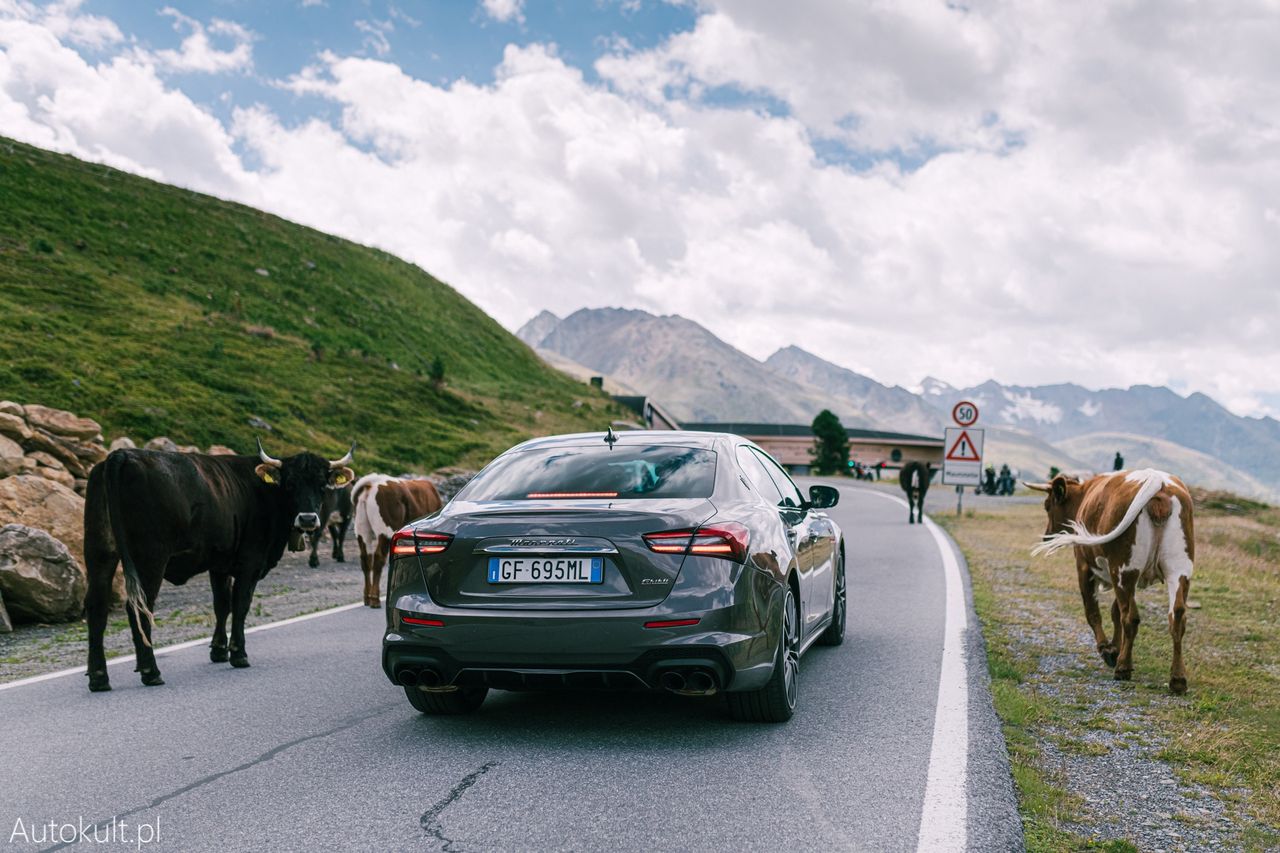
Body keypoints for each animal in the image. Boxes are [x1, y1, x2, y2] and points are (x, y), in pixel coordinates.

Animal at [83, 438, 355, 691]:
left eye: (322, 485)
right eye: (290, 484)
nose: (308, 519)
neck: (265, 494)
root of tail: (122, 455)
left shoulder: (220, 563)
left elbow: (222, 605)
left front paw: (218, 650)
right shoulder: (250, 563)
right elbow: (240, 605)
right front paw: (238, 653)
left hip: (99, 553)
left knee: (96, 608)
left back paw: (99, 677)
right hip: (150, 558)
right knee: (139, 608)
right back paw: (150, 671)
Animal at [355, 471, 445, 604]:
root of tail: (375, 482)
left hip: (362, 529)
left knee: (365, 559)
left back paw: (367, 597)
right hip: (385, 530)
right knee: (378, 558)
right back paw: (375, 599)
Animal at [1024, 468, 1192, 696]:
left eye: (1047, 506)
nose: (1046, 536)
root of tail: (1158, 481)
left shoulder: (1083, 566)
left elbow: (1093, 611)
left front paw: (1106, 649)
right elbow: (1114, 612)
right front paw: (1115, 646)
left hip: (1124, 570)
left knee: (1130, 617)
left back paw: (1123, 667)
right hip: (1179, 569)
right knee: (1176, 617)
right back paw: (1177, 679)